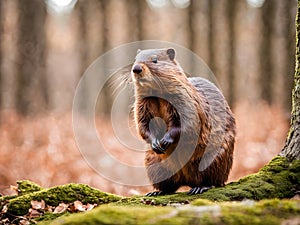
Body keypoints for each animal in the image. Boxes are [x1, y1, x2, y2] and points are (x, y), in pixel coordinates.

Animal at [130, 48, 236, 196]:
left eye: (155, 60)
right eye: (136, 59)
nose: (136, 68)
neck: (158, 94)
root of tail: (187, 181)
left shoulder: (187, 100)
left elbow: (187, 124)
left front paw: (165, 141)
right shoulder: (142, 103)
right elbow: (143, 125)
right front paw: (155, 143)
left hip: (213, 158)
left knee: (214, 181)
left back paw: (200, 187)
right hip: (154, 163)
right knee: (168, 186)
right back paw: (156, 192)